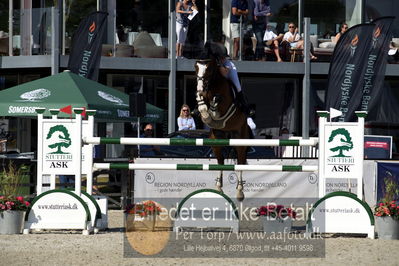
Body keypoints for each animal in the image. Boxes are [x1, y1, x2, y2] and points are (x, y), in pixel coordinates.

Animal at [195, 57, 252, 201]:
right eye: (196, 67)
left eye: (208, 68)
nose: (199, 88)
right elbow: (202, 106)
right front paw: (205, 114)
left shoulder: (225, 103)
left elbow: (216, 104)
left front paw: (212, 111)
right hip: (216, 141)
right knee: (220, 161)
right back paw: (219, 188)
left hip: (240, 140)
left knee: (240, 162)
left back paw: (240, 192)